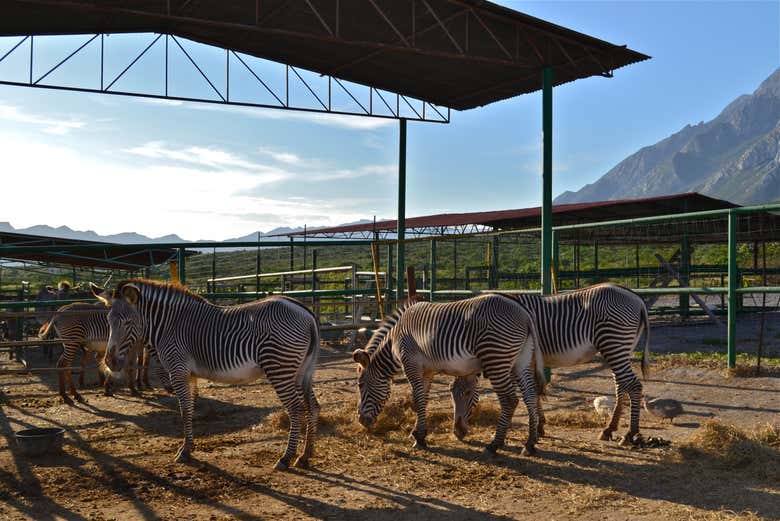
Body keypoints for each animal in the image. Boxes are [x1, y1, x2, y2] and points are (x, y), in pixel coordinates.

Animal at [91, 279, 320, 470]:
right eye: (109, 321)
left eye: (128, 323)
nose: (110, 363)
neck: (169, 325)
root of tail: (305, 312)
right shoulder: (189, 374)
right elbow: (191, 408)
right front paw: (189, 447)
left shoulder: (178, 370)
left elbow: (184, 410)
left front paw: (184, 451)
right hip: (299, 371)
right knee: (312, 406)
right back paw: (305, 456)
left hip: (279, 367)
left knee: (296, 408)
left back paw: (286, 458)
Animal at [353, 294, 546, 456]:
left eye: (360, 385)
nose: (361, 421)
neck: (394, 340)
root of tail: (524, 313)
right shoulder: (427, 371)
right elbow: (423, 399)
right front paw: (418, 433)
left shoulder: (411, 364)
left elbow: (417, 399)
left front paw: (419, 438)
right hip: (521, 361)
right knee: (530, 395)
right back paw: (529, 444)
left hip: (495, 359)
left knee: (509, 400)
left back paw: (494, 444)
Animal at [451, 283, 650, 446]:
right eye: (452, 393)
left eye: (467, 393)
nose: (458, 433)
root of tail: (636, 298)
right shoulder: (529, 362)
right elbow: (534, 391)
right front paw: (540, 426)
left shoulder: (516, 360)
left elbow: (525, 393)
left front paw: (528, 430)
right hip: (620, 348)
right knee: (621, 384)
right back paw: (609, 429)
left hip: (614, 342)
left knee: (633, 385)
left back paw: (630, 433)